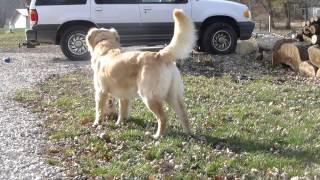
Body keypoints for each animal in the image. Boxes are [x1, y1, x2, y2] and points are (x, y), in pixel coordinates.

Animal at [85, 8, 195, 139]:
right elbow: (122, 111)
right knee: (183, 114)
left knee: (163, 118)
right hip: (173, 96)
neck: (106, 47)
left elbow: (99, 110)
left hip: (149, 97)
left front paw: (97, 123)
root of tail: (158, 55)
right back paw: (188, 133)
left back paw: (157, 136)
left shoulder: (100, 92)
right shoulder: (124, 96)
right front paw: (119, 123)